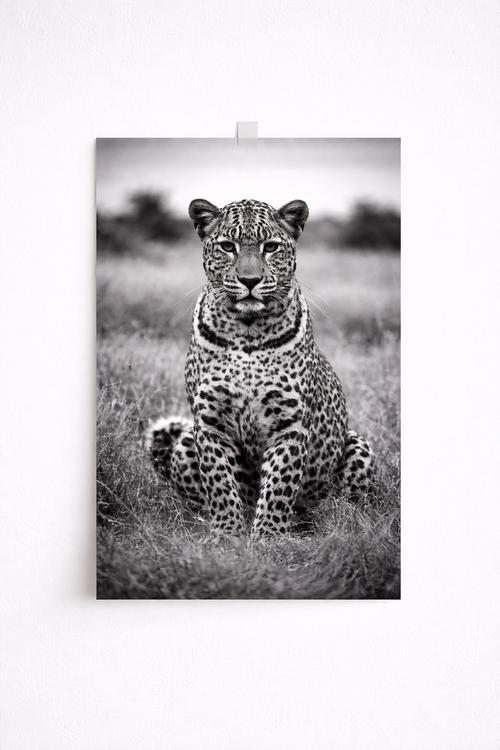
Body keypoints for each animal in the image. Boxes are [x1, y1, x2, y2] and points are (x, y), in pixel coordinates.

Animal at [146, 198, 374, 538]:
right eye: (228, 246)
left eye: (271, 247)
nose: (250, 281)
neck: (248, 331)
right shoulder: (210, 423)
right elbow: (219, 481)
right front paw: (226, 533)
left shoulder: (290, 424)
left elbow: (280, 483)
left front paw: (269, 536)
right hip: (187, 438)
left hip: (358, 445)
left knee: (345, 503)